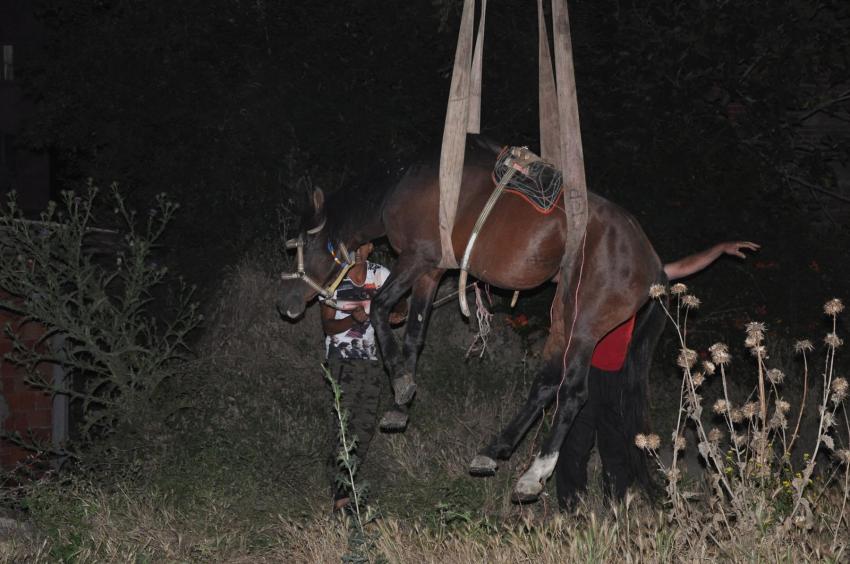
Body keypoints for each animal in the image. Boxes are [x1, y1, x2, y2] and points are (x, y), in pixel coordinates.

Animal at [280, 139, 668, 500]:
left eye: (303, 246)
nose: (287, 304)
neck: (402, 184)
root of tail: (652, 263)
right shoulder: (430, 271)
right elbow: (414, 334)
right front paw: (400, 405)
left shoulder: (417, 257)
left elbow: (378, 307)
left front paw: (401, 383)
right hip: (562, 319)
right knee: (545, 384)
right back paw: (495, 450)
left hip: (584, 325)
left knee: (572, 393)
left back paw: (535, 473)